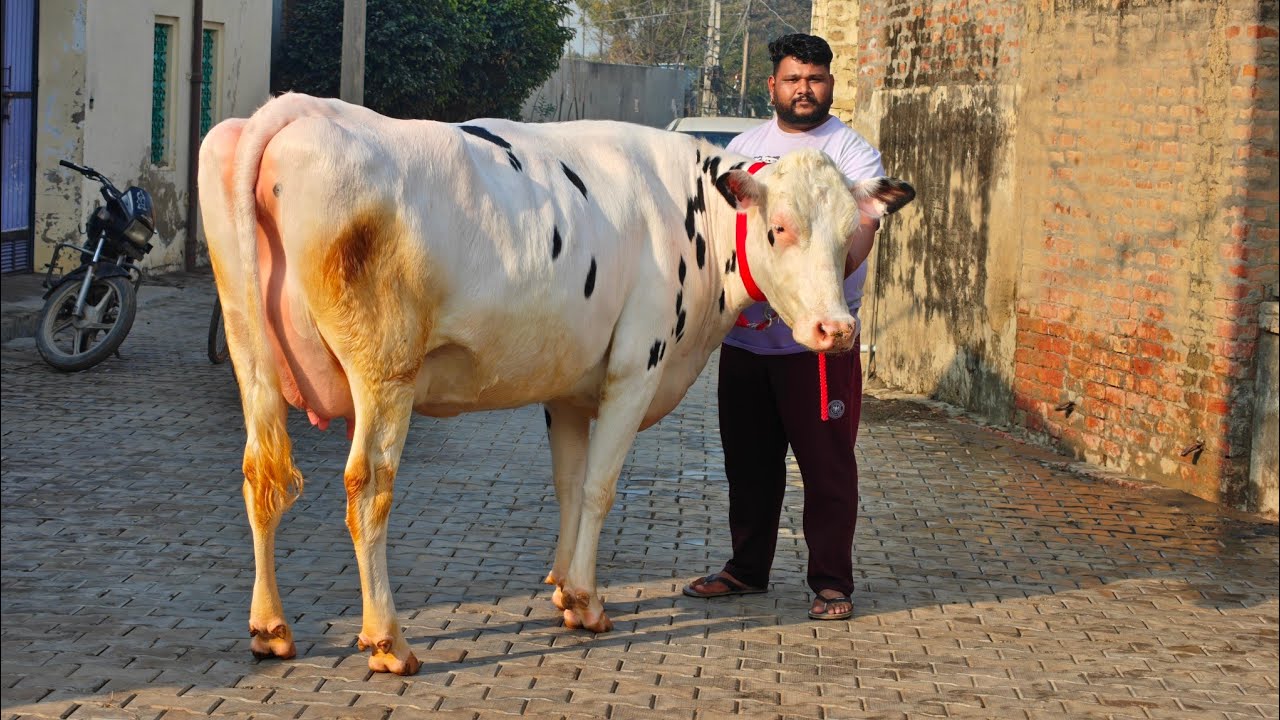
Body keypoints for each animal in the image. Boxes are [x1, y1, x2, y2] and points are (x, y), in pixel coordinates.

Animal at [198, 92, 914, 675]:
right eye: (780, 227)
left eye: (853, 234)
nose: (835, 329)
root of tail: (298, 109)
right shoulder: (636, 367)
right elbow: (598, 487)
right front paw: (587, 602)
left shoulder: (567, 385)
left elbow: (569, 485)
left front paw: (562, 586)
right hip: (385, 369)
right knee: (368, 488)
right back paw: (388, 642)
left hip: (250, 353)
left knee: (259, 474)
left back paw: (271, 630)